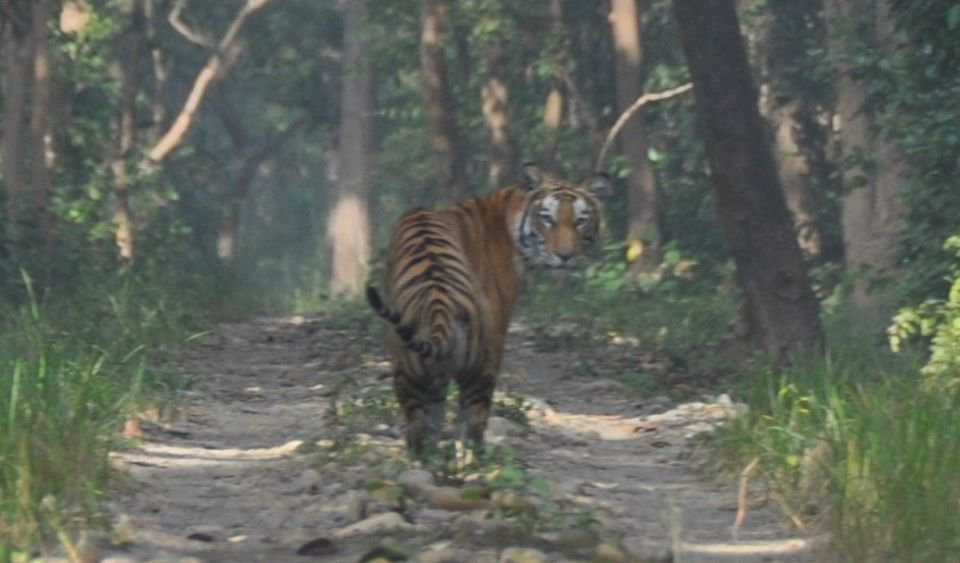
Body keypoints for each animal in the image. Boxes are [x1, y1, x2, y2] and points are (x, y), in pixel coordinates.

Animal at [366, 163, 611, 455]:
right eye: (547, 219)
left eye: (580, 220)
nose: (565, 257)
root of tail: (438, 302)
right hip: (482, 364)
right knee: (471, 424)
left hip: (407, 367)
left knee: (419, 429)